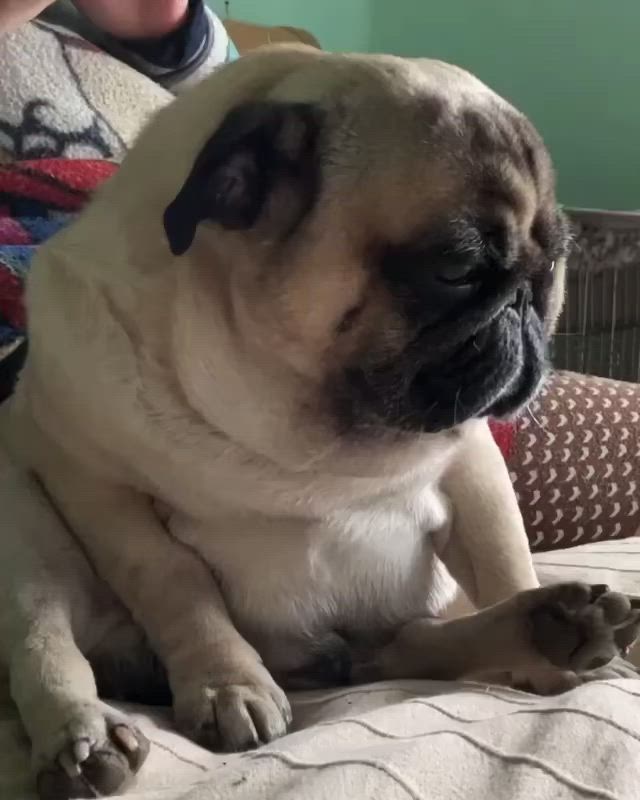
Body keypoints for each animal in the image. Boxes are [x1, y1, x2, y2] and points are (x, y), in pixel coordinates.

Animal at [1, 45, 640, 800]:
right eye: (455, 269)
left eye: (555, 265)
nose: (526, 301)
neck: (305, 436)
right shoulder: (101, 491)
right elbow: (178, 586)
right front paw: (228, 684)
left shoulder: (473, 468)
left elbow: (504, 558)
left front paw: (553, 651)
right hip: (26, 532)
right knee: (46, 643)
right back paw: (84, 736)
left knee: (401, 646)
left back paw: (554, 629)